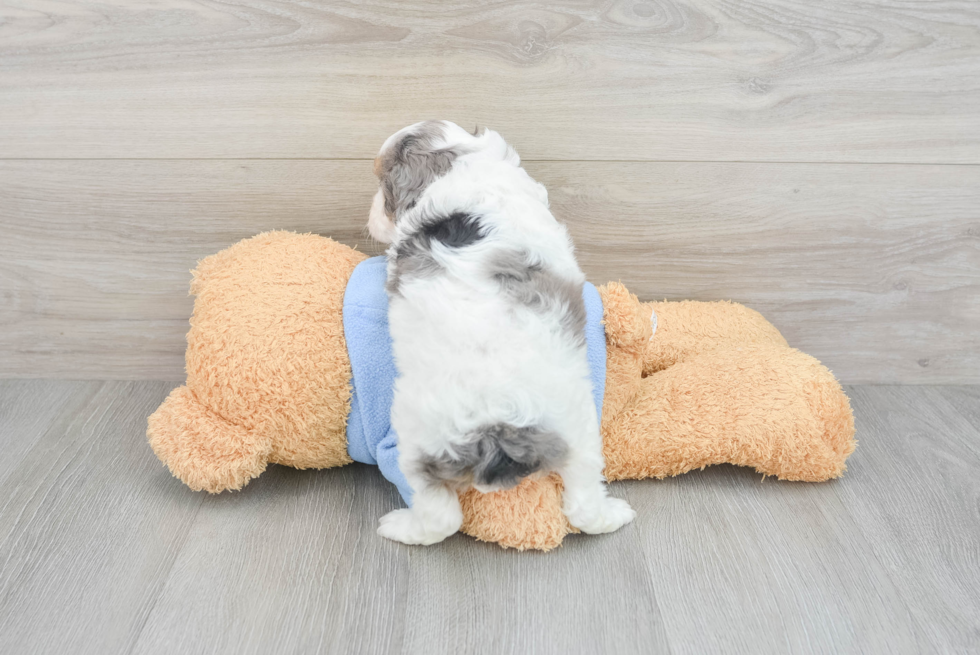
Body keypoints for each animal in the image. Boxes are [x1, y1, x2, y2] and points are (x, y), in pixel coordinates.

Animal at [368, 120, 636, 544]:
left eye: (383, 185)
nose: (372, 214)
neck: (462, 165)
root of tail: (502, 423)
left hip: (418, 440)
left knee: (441, 518)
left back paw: (399, 526)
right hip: (577, 428)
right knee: (583, 503)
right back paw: (614, 515)